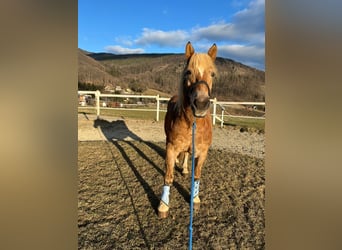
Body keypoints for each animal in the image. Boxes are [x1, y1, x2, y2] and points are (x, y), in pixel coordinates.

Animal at [157, 42, 216, 218]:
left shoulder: (203, 152)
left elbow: (196, 175)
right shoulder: (171, 148)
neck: (193, 123)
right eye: (188, 72)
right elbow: (168, 176)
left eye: (213, 74)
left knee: (187, 155)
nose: (201, 104)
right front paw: (163, 206)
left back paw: (184, 168)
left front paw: (195, 199)